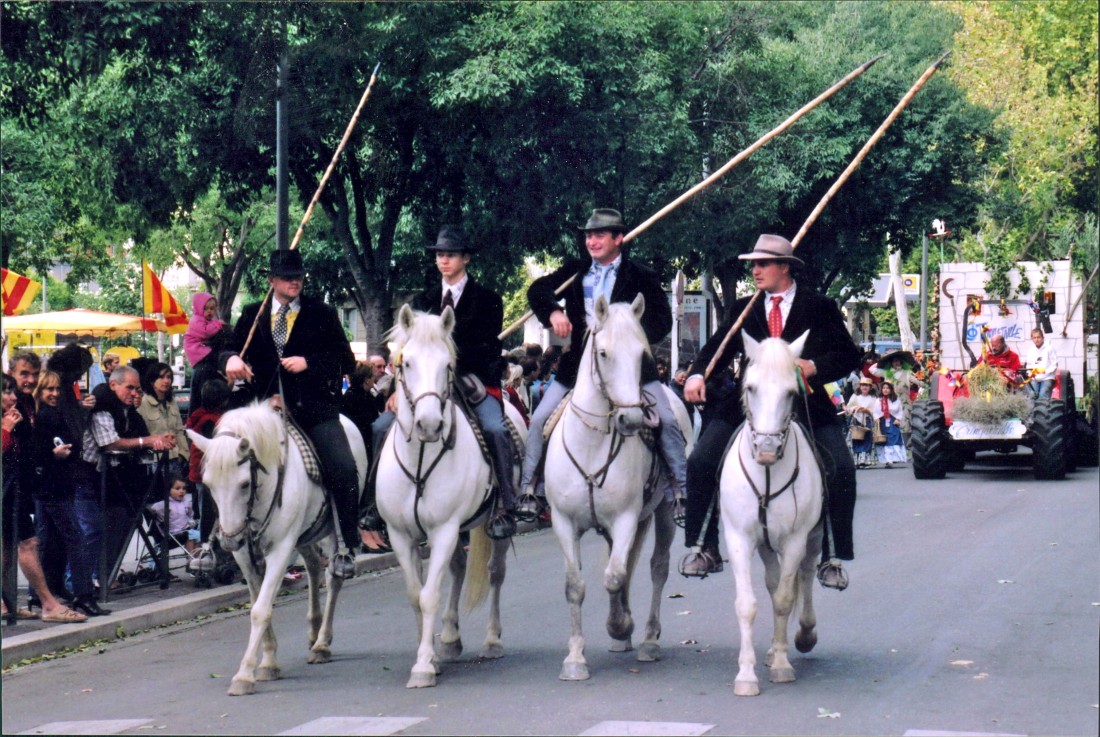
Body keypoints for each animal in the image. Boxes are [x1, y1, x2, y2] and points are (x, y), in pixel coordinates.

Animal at [184, 404, 365, 699]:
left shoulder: (280, 550)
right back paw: (314, 631)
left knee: (333, 577)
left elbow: (261, 609)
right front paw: (268, 663)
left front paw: (244, 675)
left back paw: (322, 643)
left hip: (329, 531)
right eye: (208, 484)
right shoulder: (246, 557)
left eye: (244, 484)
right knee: (313, 566)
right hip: (304, 535)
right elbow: (259, 602)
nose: (229, 541)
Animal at [374, 303, 528, 690]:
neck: (420, 459)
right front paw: (428, 652)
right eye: (407, 363)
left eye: (447, 365)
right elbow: (415, 594)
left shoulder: (443, 529)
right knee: (458, 568)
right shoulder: (401, 535)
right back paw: (449, 637)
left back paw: (491, 641)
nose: (429, 425)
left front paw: (423, 667)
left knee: (495, 573)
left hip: (488, 527)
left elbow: (430, 594)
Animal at [541, 294, 686, 682]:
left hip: (662, 512)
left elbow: (615, 576)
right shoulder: (563, 521)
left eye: (641, 355)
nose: (632, 419)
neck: (592, 445)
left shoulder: (625, 518)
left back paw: (647, 639)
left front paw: (619, 624)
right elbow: (576, 585)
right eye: (603, 353)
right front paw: (575, 658)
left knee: (656, 567)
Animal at [717, 334, 822, 699]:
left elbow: (784, 600)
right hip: (764, 543)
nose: (765, 451)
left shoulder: (795, 540)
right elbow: (747, 604)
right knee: (774, 580)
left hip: (813, 538)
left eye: (791, 392)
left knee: (806, 575)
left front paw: (781, 665)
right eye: (750, 387)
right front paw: (746, 674)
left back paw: (802, 636)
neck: (766, 474)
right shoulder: (739, 537)